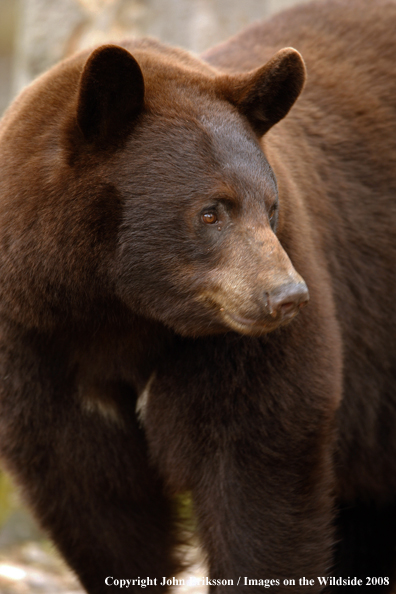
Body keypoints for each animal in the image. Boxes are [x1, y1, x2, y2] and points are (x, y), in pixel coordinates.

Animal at [0, 0, 394, 588]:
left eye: (271, 206)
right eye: (210, 211)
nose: (288, 296)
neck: (119, 312)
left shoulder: (242, 350)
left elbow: (257, 476)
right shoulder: (37, 343)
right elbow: (96, 500)